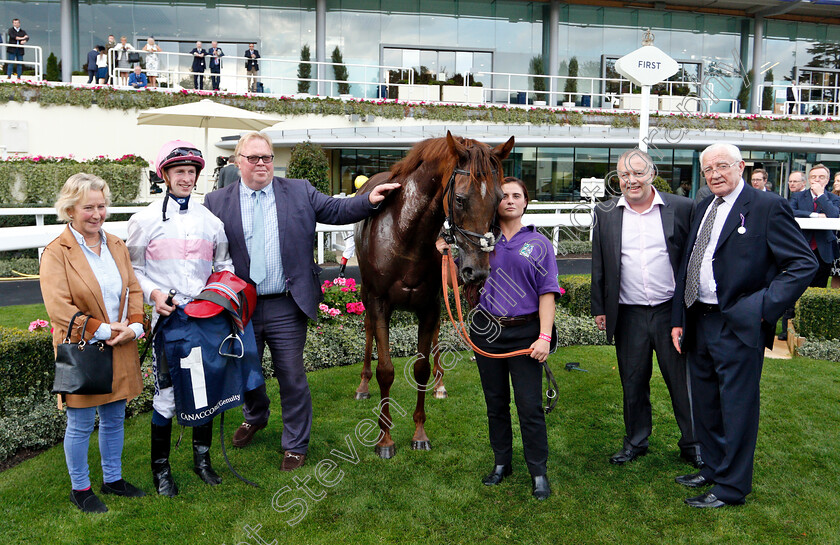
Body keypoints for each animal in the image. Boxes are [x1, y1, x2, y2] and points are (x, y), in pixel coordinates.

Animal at [352, 133, 512, 460]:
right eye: (460, 198)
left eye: (500, 198)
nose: (477, 271)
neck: (404, 234)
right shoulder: (378, 302)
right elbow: (385, 370)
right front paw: (385, 439)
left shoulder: (429, 305)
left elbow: (421, 368)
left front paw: (419, 434)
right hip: (366, 294)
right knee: (369, 331)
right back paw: (363, 385)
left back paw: (440, 384)